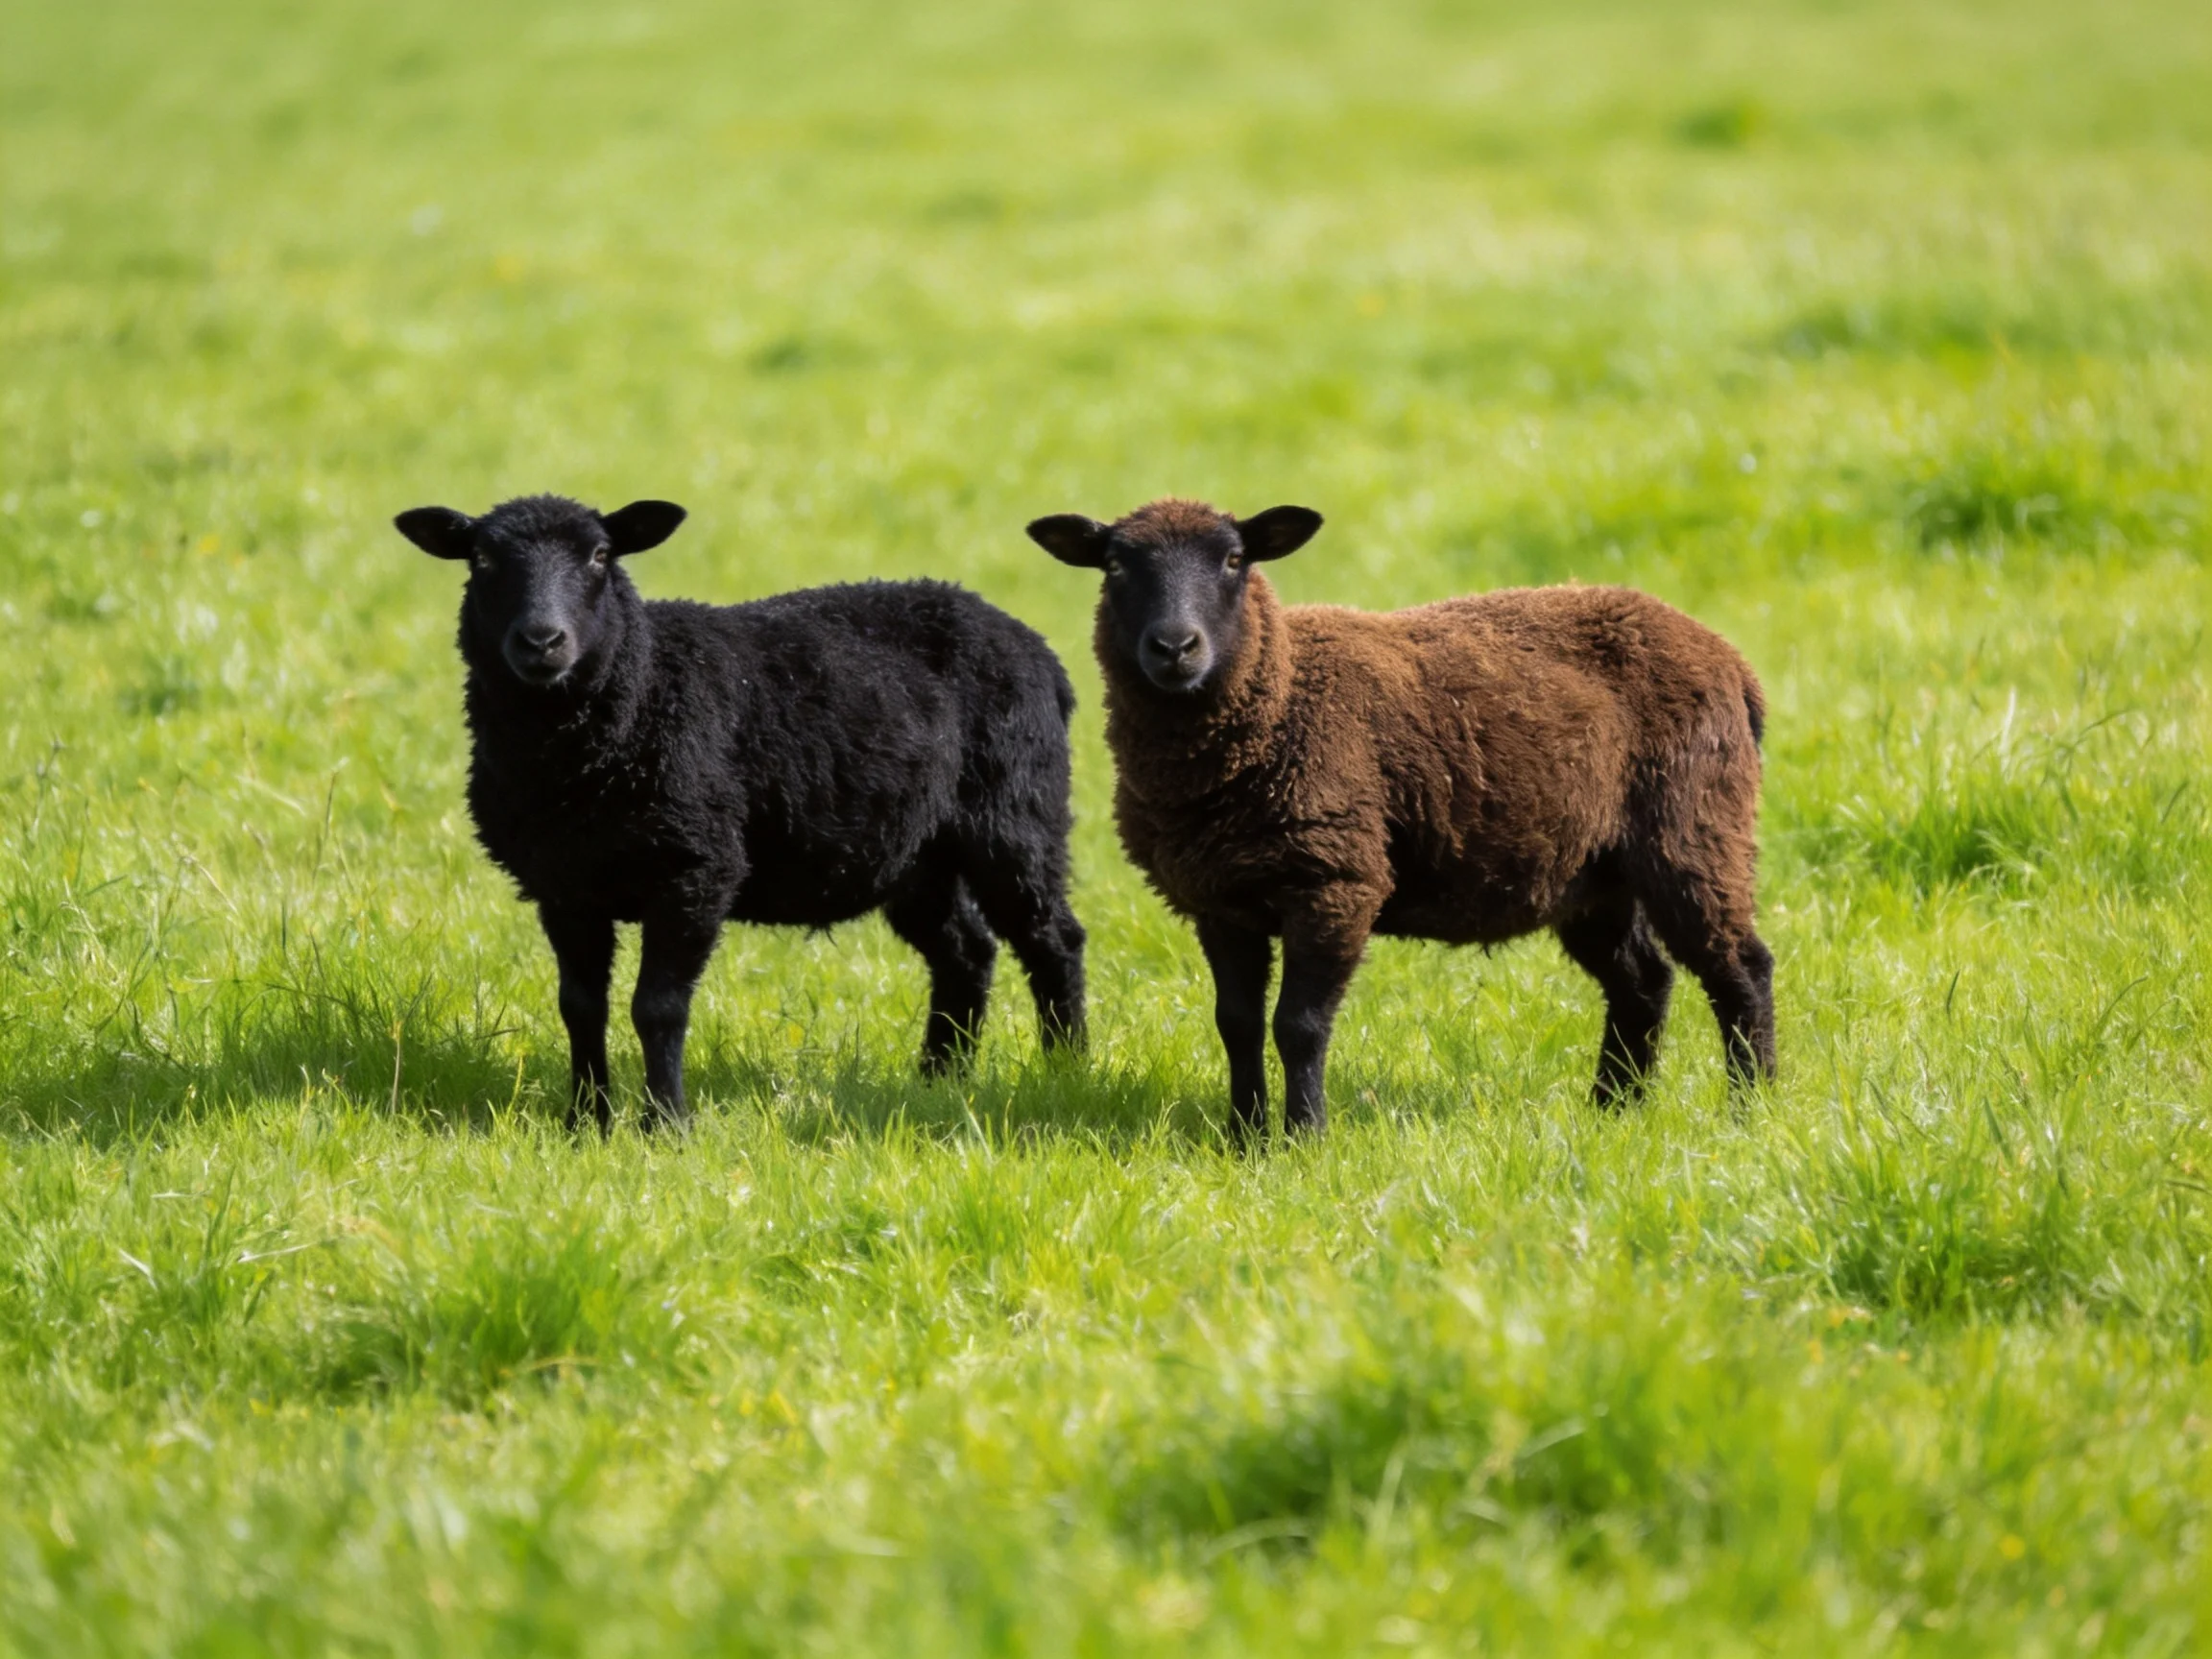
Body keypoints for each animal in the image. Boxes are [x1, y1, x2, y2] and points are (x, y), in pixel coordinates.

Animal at [395, 493, 1086, 1131]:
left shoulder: (697, 869)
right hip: (916, 854)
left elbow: (658, 1007)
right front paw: (586, 1121)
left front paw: (665, 1125)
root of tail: (1033, 646)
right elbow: (581, 1006)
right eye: (482, 560)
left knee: (1052, 938)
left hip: (1015, 817)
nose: (542, 641)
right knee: (965, 951)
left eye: (600, 556)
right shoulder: (564, 885)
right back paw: (939, 1078)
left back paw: (1065, 1068)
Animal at [1028, 497, 1773, 1138]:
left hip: (1695, 829)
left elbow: (1298, 1025)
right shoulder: (1221, 900)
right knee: (1642, 981)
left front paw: (1303, 1139)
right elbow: (1235, 1024)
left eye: (1235, 559)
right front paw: (1244, 1138)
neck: (1282, 696)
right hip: (1592, 874)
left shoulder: (1335, 881)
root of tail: (1732, 663)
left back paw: (1751, 1108)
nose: (1175, 648)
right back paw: (1614, 1110)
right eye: (1115, 565)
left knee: (1741, 968)